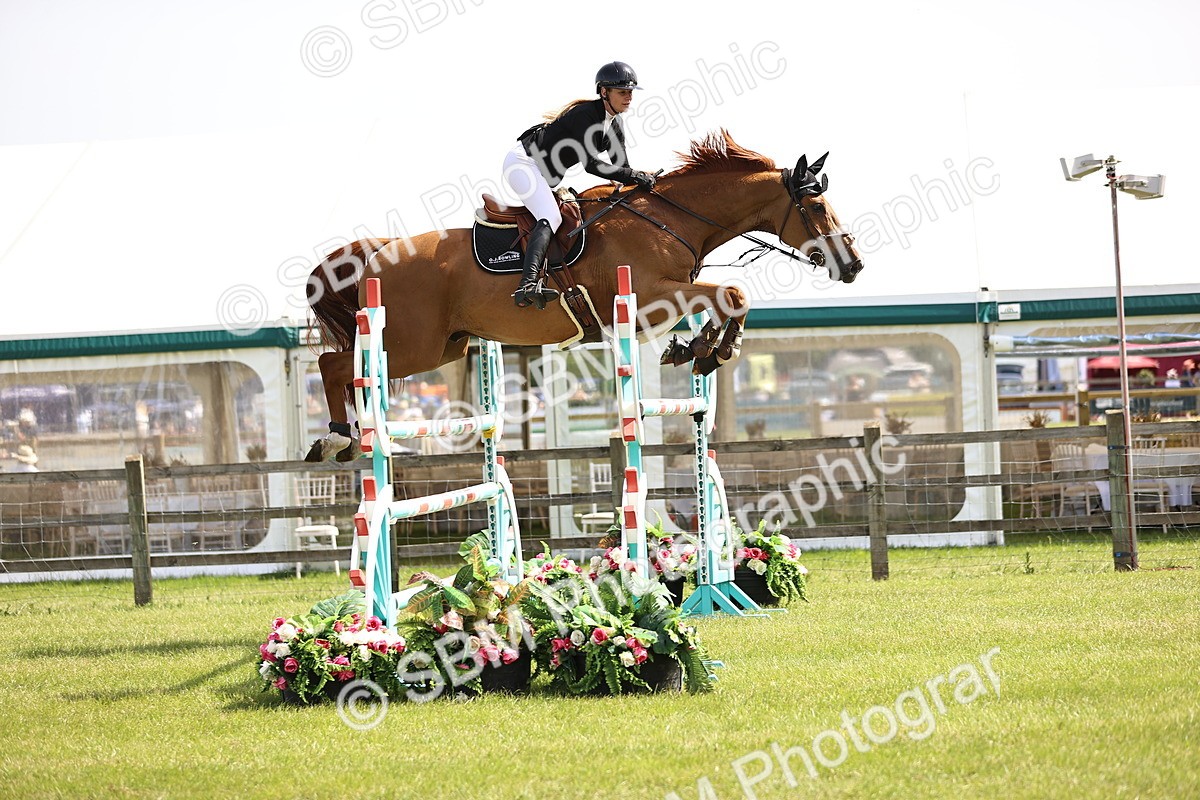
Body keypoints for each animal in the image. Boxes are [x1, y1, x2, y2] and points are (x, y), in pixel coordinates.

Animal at [303, 130, 864, 461]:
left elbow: (724, 298)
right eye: (817, 206)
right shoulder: (651, 295)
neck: (671, 219)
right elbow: (732, 291)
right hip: (411, 345)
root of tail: (379, 253)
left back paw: (348, 438)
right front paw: (714, 350)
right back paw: (338, 437)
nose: (853, 264)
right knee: (335, 364)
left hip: (446, 347)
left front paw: (698, 349)